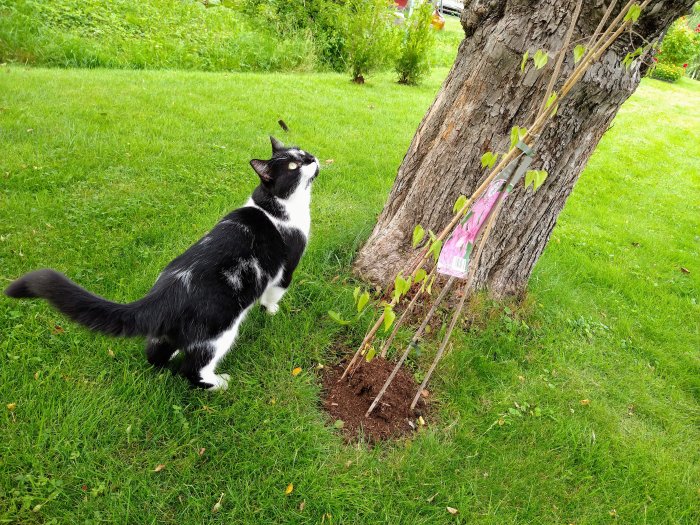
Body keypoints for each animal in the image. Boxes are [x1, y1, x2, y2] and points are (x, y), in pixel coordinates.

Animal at [2, 137, 318, 390]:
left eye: (303, 152)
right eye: (293, 166)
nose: (312, 158)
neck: (274, 205)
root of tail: (166, 293)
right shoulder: (286, 267)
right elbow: (275, 292)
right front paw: (272, 311)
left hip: (172, 333)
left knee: (155, 353)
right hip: (218, 333)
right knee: (193, 370)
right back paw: (219, 383)